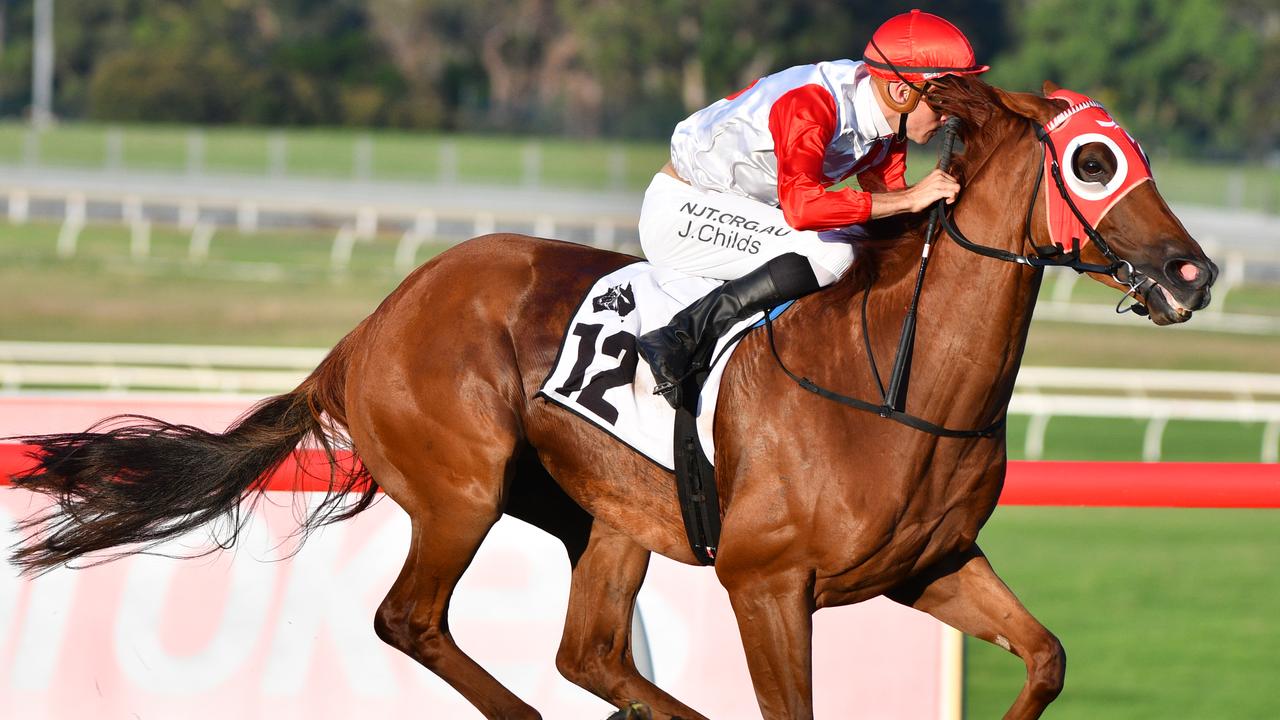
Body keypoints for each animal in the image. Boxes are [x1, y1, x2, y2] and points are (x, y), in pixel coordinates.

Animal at [12, 75, 1218, 712]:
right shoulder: (765, 582)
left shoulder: (930, 566)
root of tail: (366, 330)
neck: (899, 383)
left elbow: (1046, 655)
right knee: (415, 620)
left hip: (607, 514)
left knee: (586, 649)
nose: (1194, 271)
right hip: (461, 488)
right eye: (1096, 163)